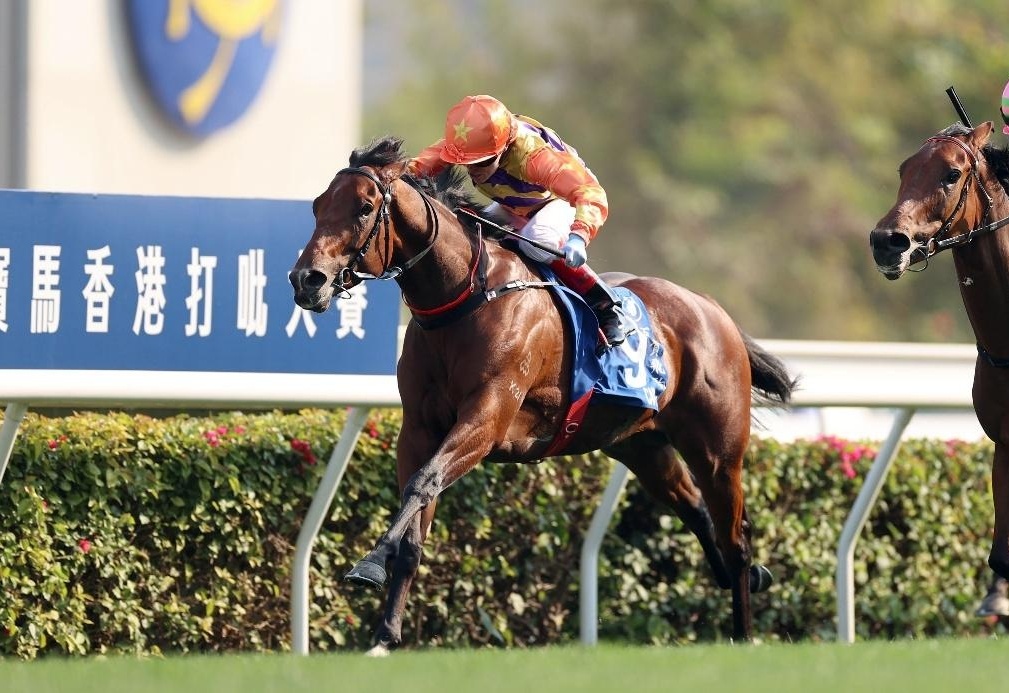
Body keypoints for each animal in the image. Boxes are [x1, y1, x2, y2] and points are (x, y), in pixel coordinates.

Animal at [289, 136, 796, 654]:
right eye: (317, 206)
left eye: (364, 208)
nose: (306, 279)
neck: (464, 297)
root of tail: (713, 309)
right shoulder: (418, 429)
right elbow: (415, 525)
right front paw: (384, 635)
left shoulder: (487, 419)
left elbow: (423, 482)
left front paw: (368, 565)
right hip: (642, 447)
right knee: (697, 512)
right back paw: (746, 580)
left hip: (717, 450)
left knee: (736, 537)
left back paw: (743, 630)